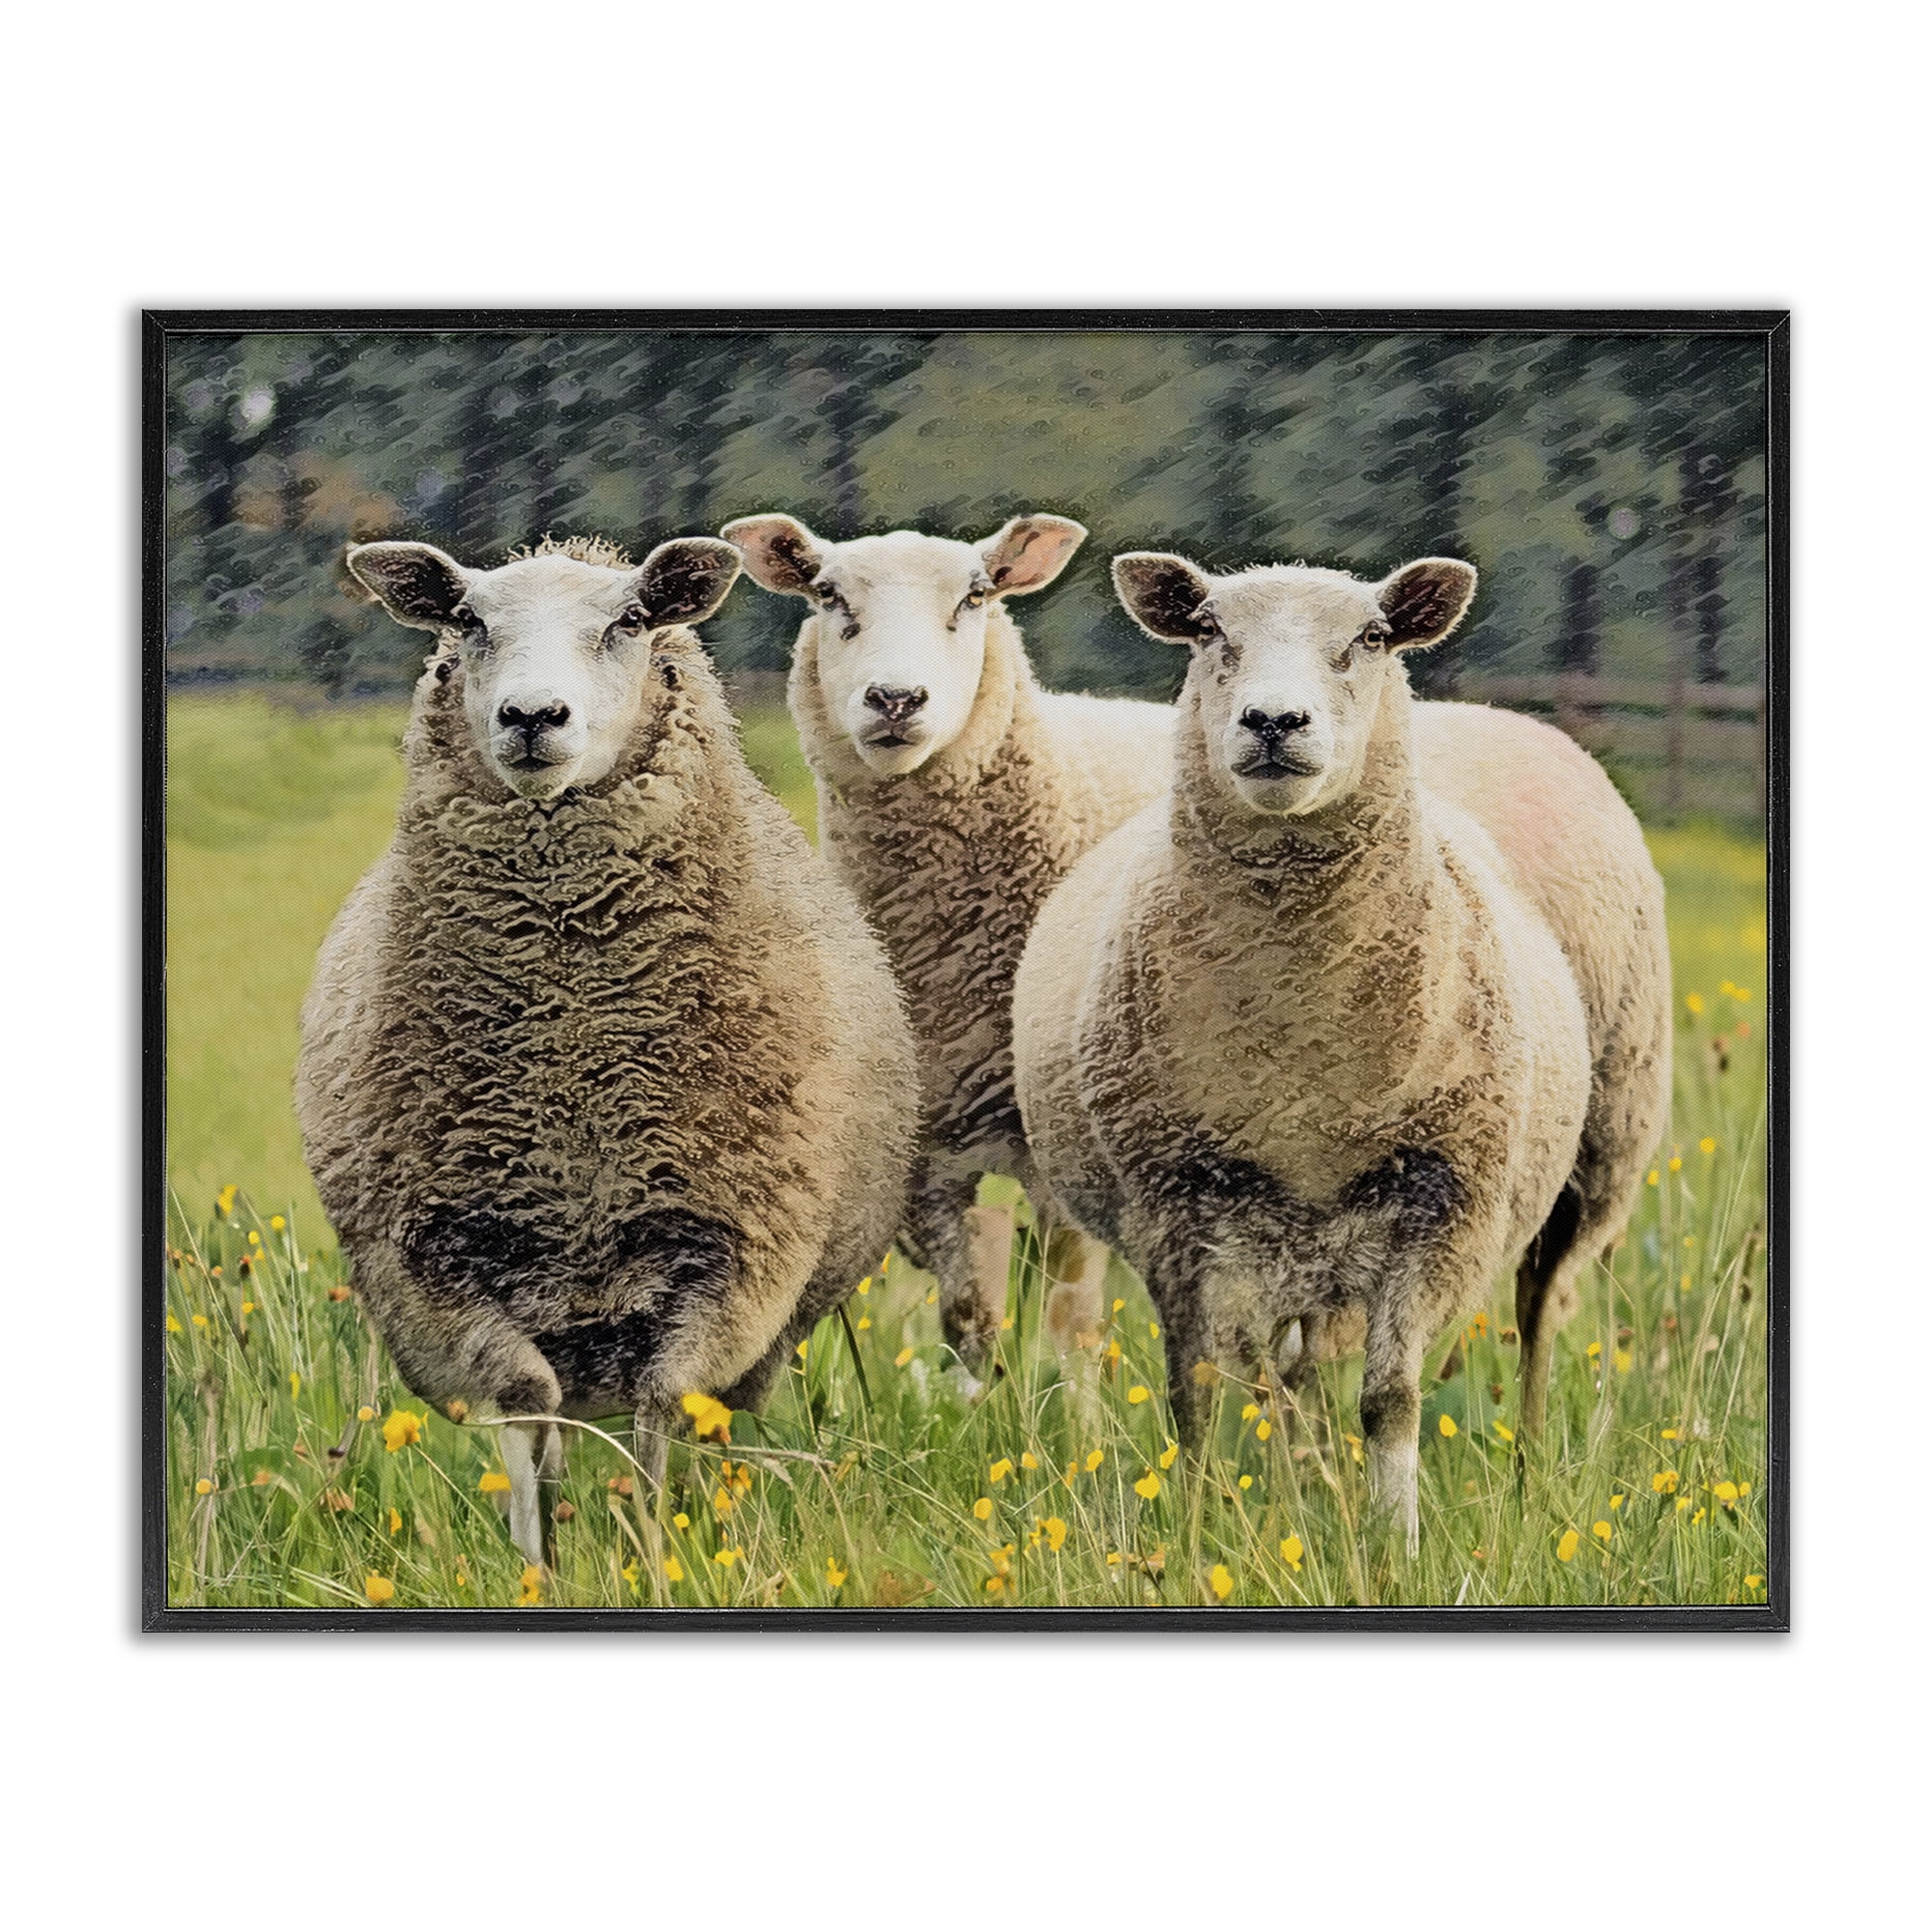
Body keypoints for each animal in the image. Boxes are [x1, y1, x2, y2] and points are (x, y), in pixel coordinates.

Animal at [296, 533, 917, 1567]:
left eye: (628, 621)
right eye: (466, 620)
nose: (532, 716)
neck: (572, 1054)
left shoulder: (732, 1253)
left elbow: (665, 1409)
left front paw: (656, 1556)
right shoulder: (436, 1263)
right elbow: (526, 1406)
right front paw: (537, 1564)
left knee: (699, 1419)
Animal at [720, 511, 1174, 1374]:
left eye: (974, 596)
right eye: (828, 594)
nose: (896, 698)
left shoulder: (1059, 1143)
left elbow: (1068, 1318)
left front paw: (1066, 1409)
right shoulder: (924, 1157)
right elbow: (969, 1320)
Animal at [1012, 550, 1670, 1546]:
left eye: (1370, 637)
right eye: (1208, 630)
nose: (1274, 721)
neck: (1305, 1054)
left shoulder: (1444, 1201)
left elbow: (1391, 1400)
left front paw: (1394, 1541)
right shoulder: (1174, 1207)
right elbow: (1198, 1393)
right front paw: (1199, 1529)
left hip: (1600, 1154)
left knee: (1540, 1317)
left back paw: (1527, 1474)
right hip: (1297, 1242)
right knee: (1294, 1374)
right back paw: (1306, 1483)